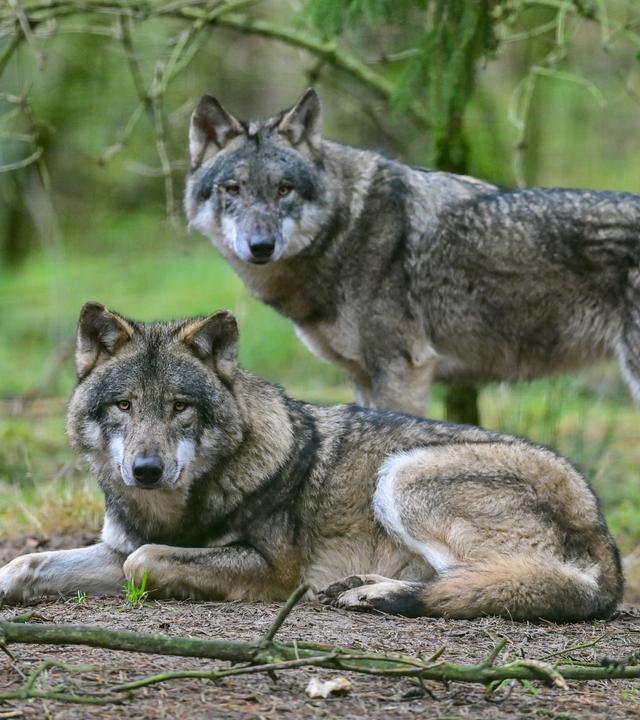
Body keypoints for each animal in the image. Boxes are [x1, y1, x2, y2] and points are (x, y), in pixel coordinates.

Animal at [0, 302, 622, 621]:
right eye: (124, 405)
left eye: (180, 407)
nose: (145, 470)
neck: (179, 508)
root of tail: (604, 534)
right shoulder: (114, 545)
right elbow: (25, 565)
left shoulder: (272, 570)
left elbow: (144, 562)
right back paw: (362, 587)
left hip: (403, 475)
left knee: (501, 581)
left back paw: (378, 596)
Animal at [184, 88, 640, 416]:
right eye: (232, 189)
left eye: (284, 190)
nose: (261, 246)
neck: (345, 229)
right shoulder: (363, 379)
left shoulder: (403, 371)